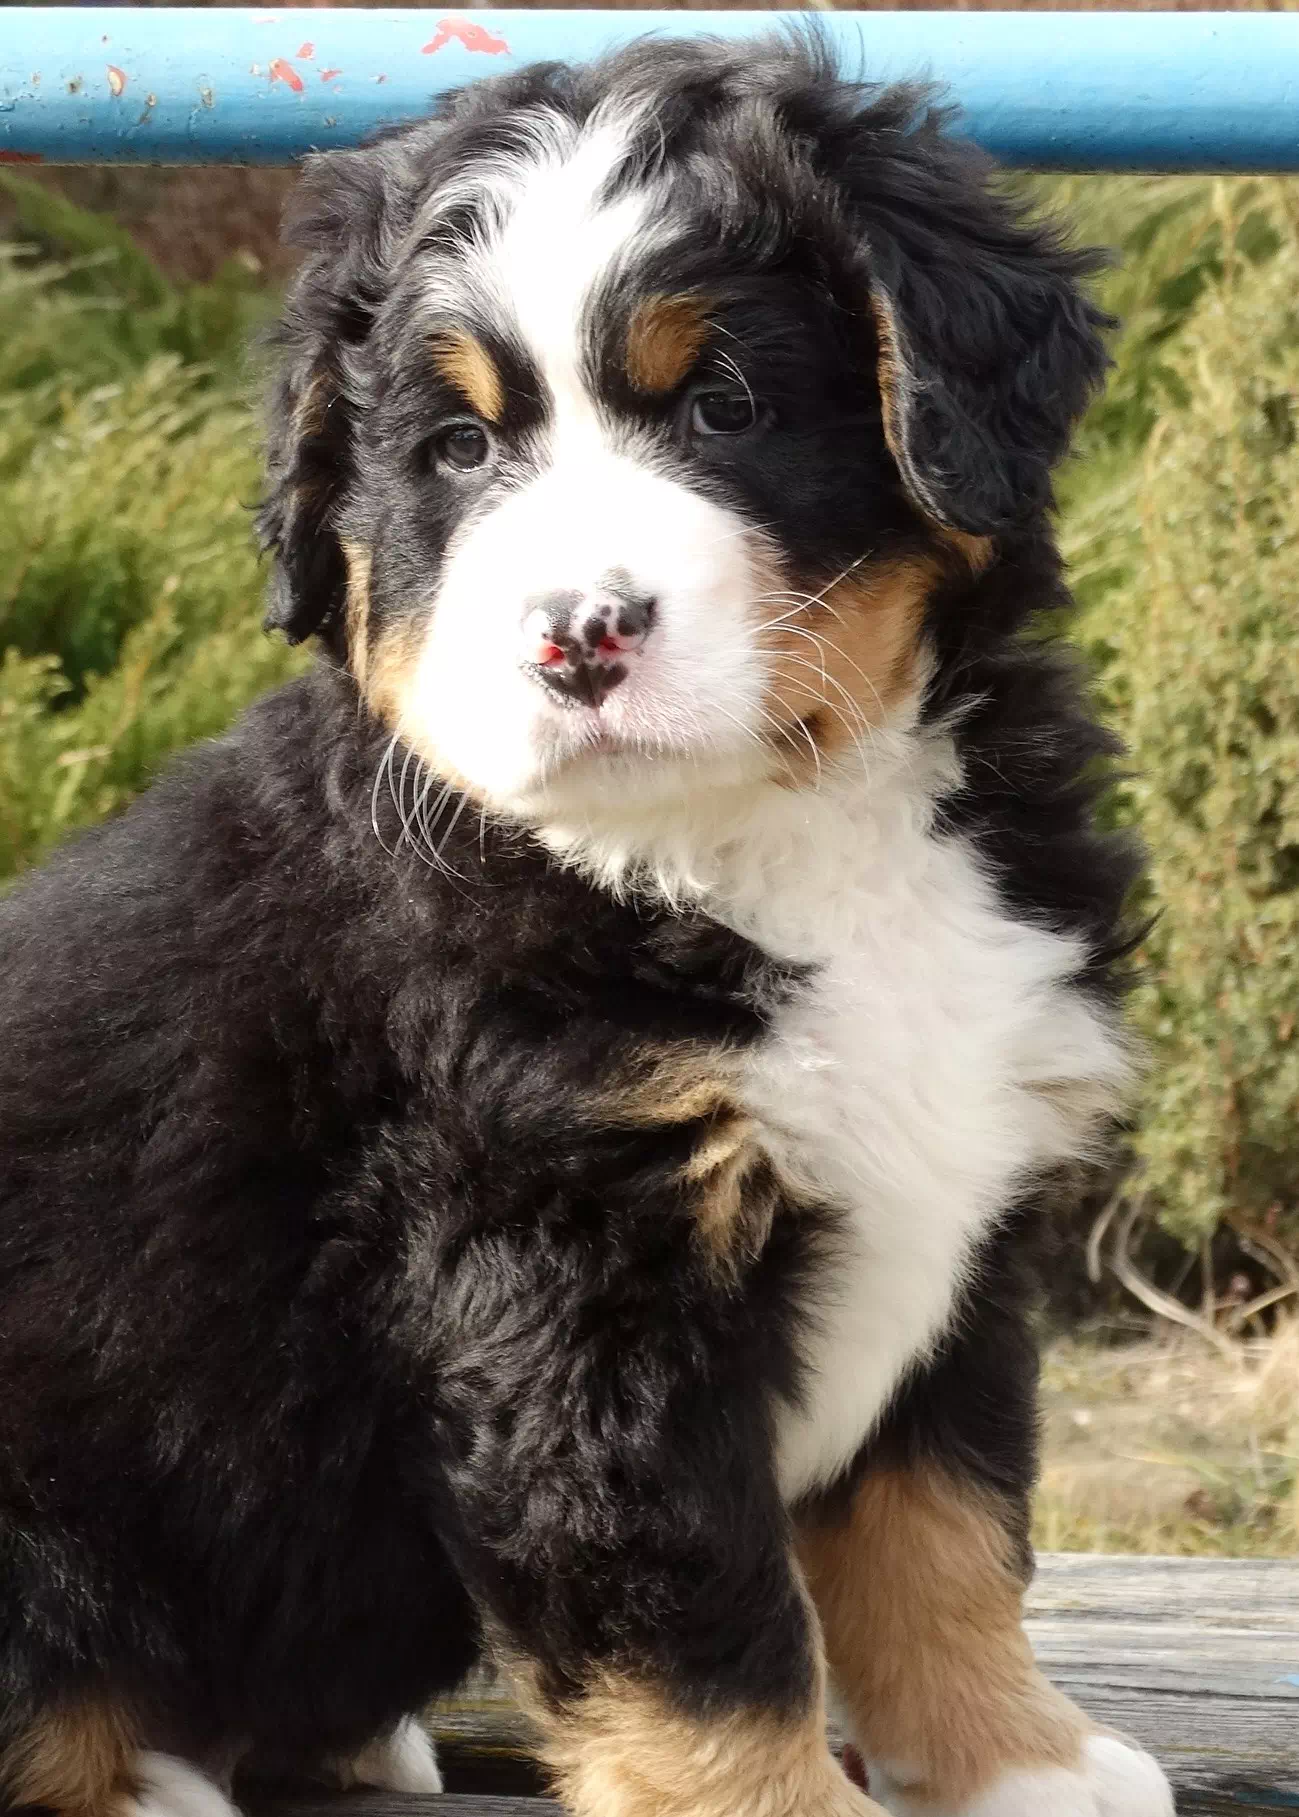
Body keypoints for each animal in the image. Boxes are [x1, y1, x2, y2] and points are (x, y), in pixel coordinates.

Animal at [0, 34, 1172, 1817]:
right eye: (457, 455)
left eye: (721, 404)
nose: (576, 635)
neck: (762, 837)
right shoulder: (568, 1286)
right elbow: (704, 1643)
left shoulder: (964, 1219)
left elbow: (943, 1524)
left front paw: (1013, 1763)